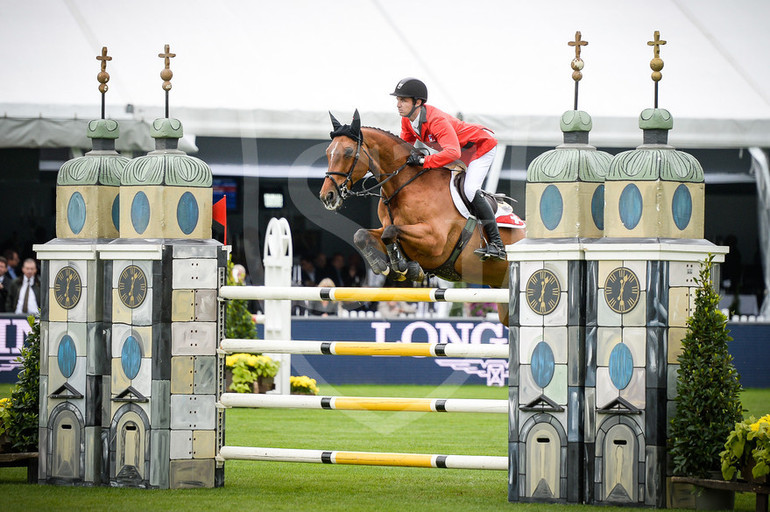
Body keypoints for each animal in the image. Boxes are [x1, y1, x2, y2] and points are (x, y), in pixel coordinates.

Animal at [316, 111, 524, 324]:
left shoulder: (435, 242)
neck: (405, 186)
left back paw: (495, 249)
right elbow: (363, 235)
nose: (327, 196)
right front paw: (385, 266)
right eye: (328, 151)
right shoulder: (392, 231)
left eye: (348, 151)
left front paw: (402, 267)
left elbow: (390, 233)